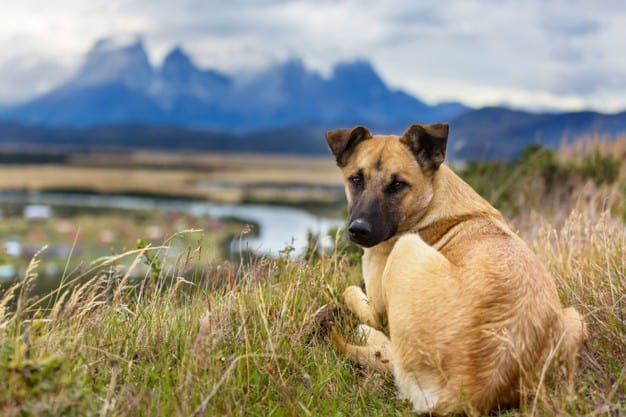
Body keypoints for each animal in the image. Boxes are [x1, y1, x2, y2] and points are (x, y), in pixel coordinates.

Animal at [324, 122, 584, 414]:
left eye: (398, 185)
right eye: (356, 180)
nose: (359, 230)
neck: (431, 202)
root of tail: (468, 388)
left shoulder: (377, 308)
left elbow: (349, 292)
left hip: (405, 248)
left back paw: (367, 335)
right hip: (574, 318)